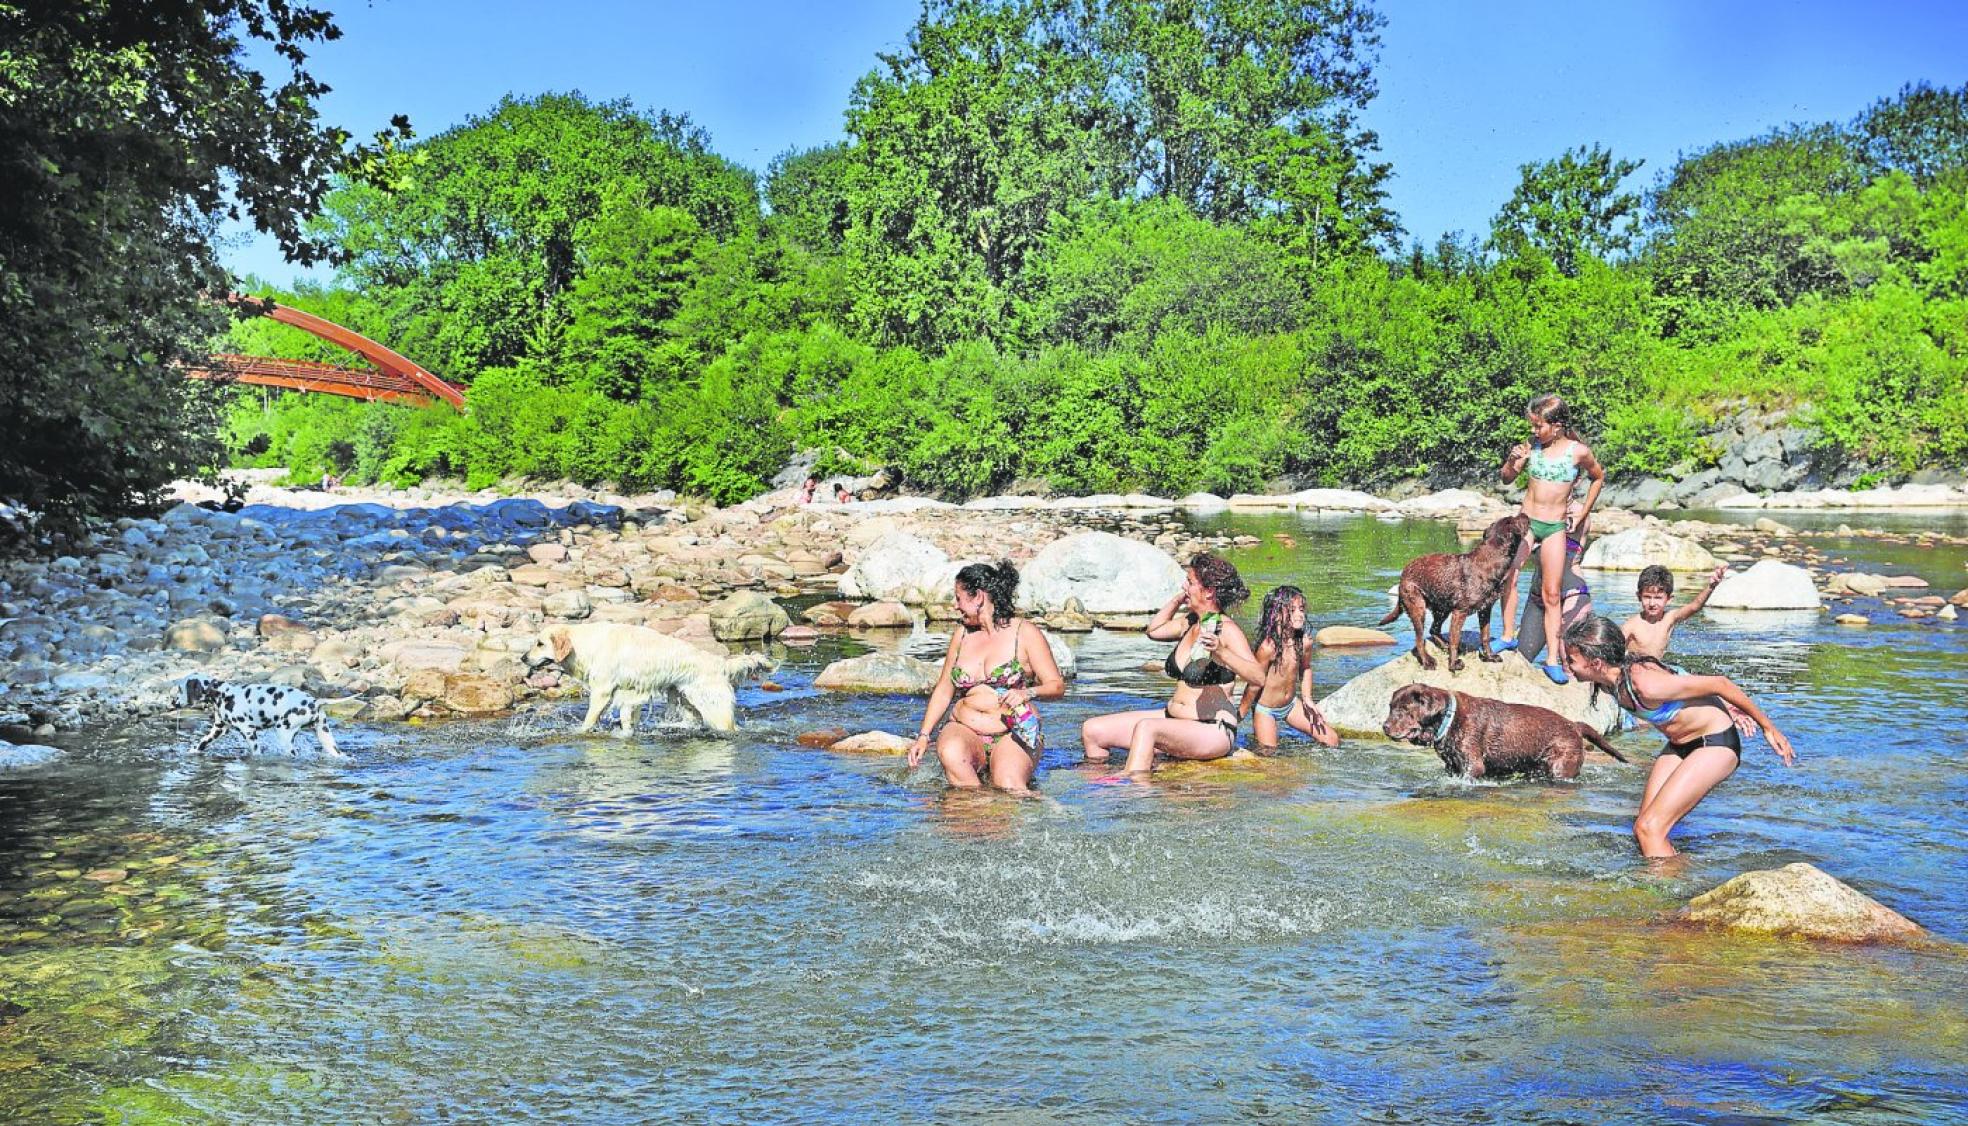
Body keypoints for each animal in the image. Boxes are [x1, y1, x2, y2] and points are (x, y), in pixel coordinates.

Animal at [181, 673, 342, 759]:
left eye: (179, 688)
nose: (174, 702)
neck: (223, 694)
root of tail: (314, 701)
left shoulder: (249, 732)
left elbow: (256, 753)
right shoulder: (218, 730)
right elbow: (202, 742)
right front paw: (192, 751)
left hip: (284, 734)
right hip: (327, 739)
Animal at [527, 622, 771, 736]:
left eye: (540, 643)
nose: (522, 658)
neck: (586, 645)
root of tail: (720, 663)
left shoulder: (602, 690)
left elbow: (589, 719)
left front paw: (579, 732)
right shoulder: (629, 694)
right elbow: (627, 718)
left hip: (714, 707)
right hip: (687, 702)